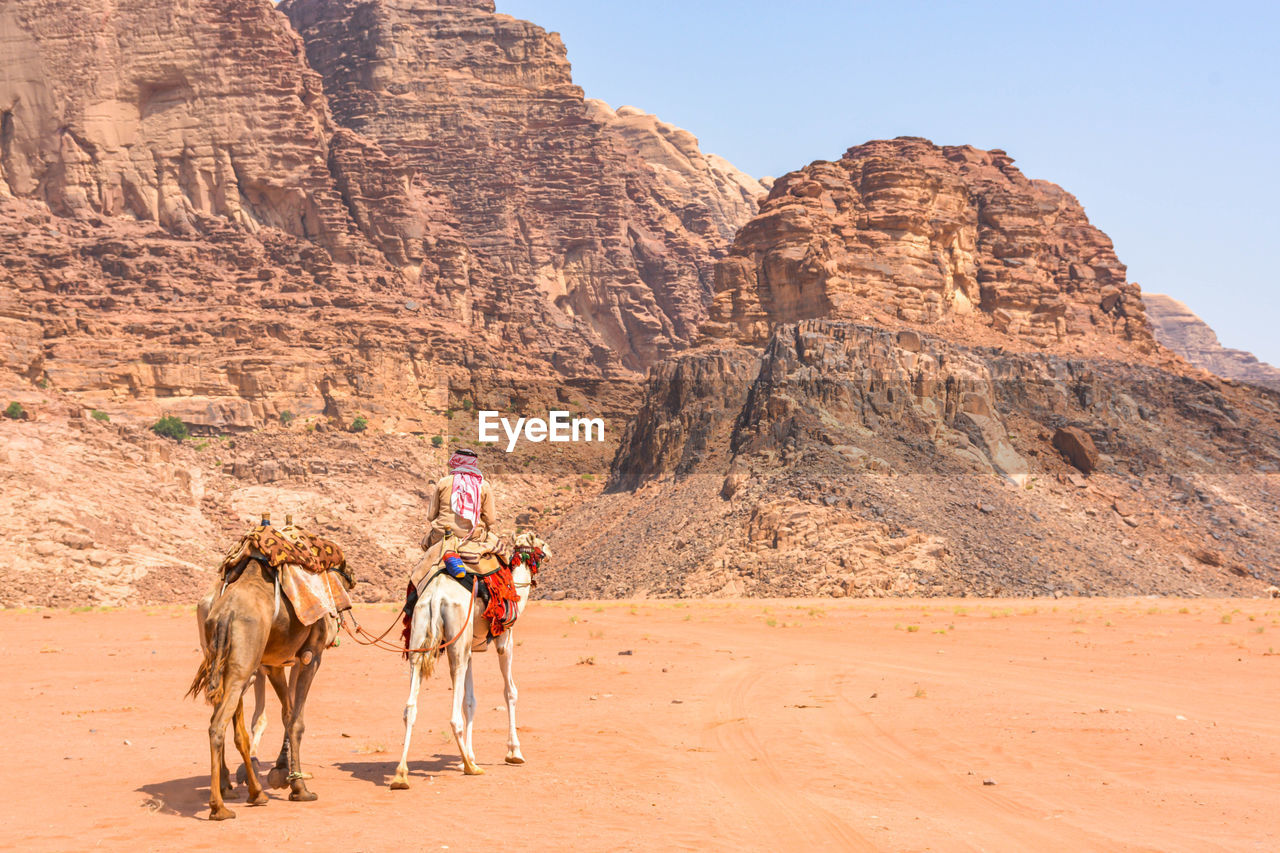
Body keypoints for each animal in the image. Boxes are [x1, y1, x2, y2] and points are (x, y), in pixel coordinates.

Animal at [185, 558, 345, 819]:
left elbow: (286, 713)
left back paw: (240, 789)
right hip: (243, 668)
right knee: (219, 725)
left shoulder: (275, 663)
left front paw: (282, 771)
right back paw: (222, 806)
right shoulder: (310, 656)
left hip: (224, 664)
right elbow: (296, 720)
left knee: (228, 722)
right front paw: (299, 787)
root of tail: (225, 613)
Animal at [389, 532, 550, 783]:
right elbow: (510, 692)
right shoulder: (505, 640)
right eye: (541, 543)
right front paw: (514, 752)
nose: (550, 551)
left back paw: (401, 774)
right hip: (457, 638)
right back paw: (469, 767)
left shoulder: (471, 649)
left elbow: (470, 701)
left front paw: (471, 754)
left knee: (410, 707)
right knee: (454, 715)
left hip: (422, 635)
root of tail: (436, 597)